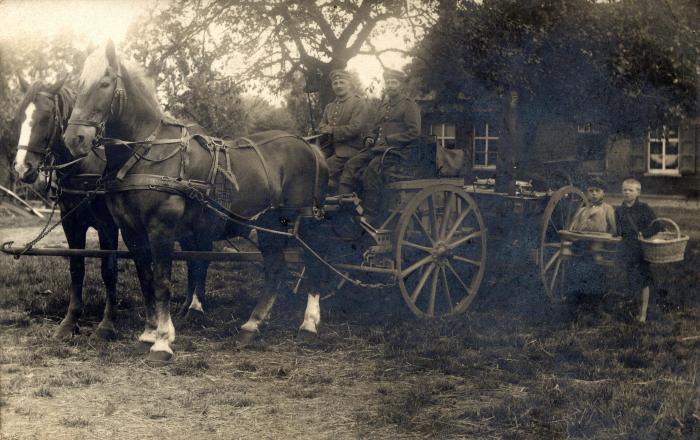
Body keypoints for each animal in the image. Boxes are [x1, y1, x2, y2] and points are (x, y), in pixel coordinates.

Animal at [14, 77, 121, 340]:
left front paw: (107, 324)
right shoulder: (70, 222)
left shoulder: (107, 226)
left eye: (46, 117)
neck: (86, 165)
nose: (22, 168)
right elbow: (76, 267)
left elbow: (108, 269)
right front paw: (70, 322)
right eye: (20, 117)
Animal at [63, 41, 330, 360]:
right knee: (275, 270)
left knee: (313, 264)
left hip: (304, 223)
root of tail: (310, 147)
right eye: (78, 85)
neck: (147, 153)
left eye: (104, 83)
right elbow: (145, 278)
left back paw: (308, 325)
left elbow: (162, 281)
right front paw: (148, 333)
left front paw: (162, 341)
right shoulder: (131, 231)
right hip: (269, 226)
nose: (74, 139)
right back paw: (252, 326)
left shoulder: (161, 230)